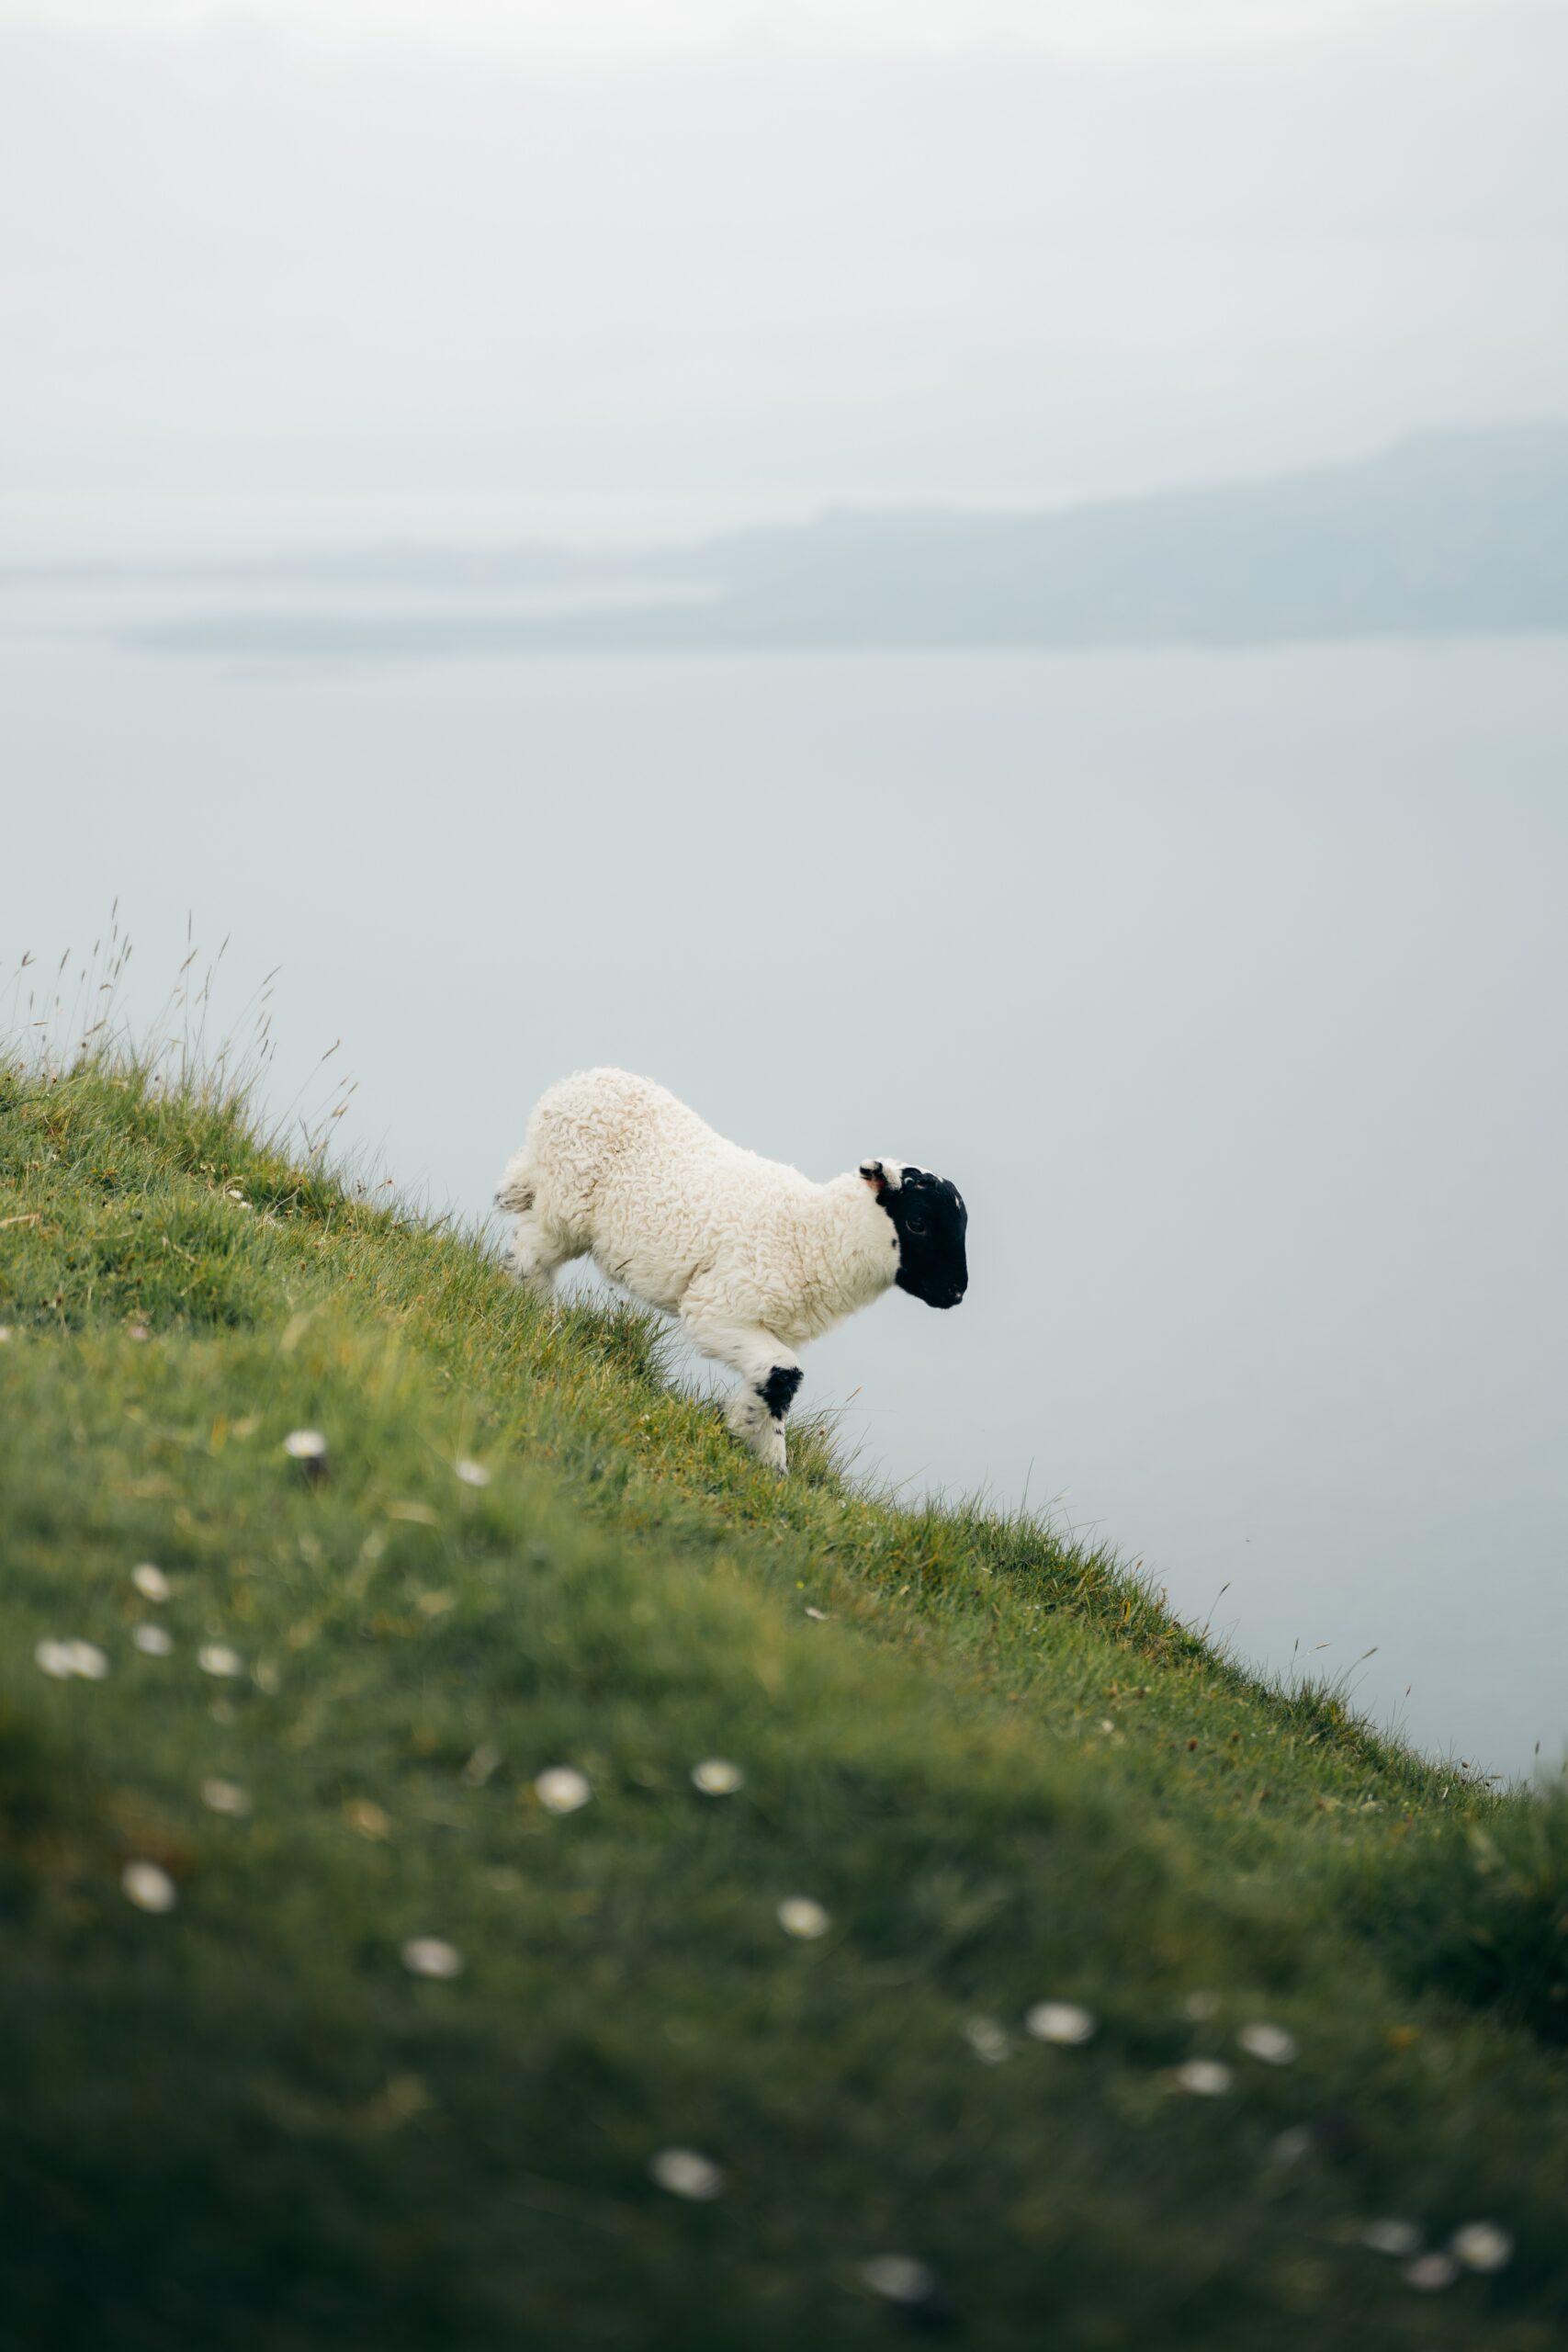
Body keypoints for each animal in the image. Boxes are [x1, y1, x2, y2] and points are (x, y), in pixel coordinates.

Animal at [502, 1072, 968, 1467]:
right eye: (917, 1222)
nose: (956, 1291)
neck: (812, 1236)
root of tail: (576, 1083)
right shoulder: (717, 1306)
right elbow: (784, 1373)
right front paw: (752, 1441)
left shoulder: (766, 1327)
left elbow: (773, 1381)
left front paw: (765, 1459)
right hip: (564, 1207)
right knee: (529, 1255)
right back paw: (540, 1324)